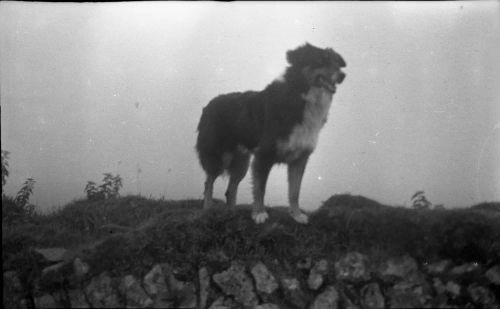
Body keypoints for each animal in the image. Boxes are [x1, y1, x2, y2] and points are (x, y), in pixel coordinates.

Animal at [194, 42, 344, 223]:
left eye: (336, 62)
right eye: (321, 60)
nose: (343, 75)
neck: (300, 96)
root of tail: (209, 105)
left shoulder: (300, 158)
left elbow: (295, 191)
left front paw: (296, 214)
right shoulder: (264, 155)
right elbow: (260, 188)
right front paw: (259, 213)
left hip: (241, 162)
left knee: (231, 188)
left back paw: (232, 212)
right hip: (220, 156)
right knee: (208, 182)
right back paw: (208, 209)